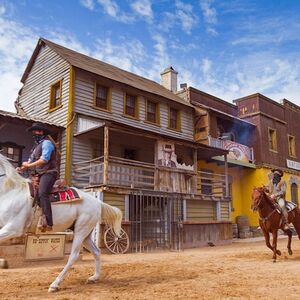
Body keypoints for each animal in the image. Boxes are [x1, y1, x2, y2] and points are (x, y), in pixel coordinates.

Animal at [0, 154, 123, 292]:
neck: (10, 192)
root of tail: (97, 202)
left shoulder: (13, 228)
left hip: (81, 231)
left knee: (73, 256)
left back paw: (55, 284)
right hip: (85, 234)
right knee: (96, 252)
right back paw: (94, 277)